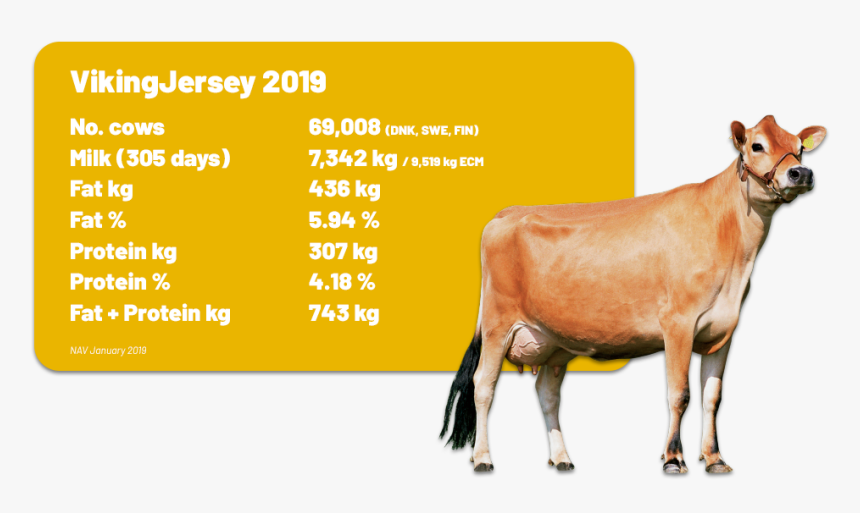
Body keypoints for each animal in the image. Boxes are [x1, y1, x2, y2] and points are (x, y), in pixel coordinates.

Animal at [440, 116, 825, 474]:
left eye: (800, 147)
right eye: (757, 146)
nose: (800, 172)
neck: (734, 251)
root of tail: (505, 213)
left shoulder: (723, 328)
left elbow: (711, 397)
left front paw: (714, 458)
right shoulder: (678, 323)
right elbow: (680, 393)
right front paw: (673, 458)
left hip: (554, 340)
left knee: (546, 394)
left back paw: (561, 457)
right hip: (497, 324)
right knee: (483, 385)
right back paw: (482, 458)